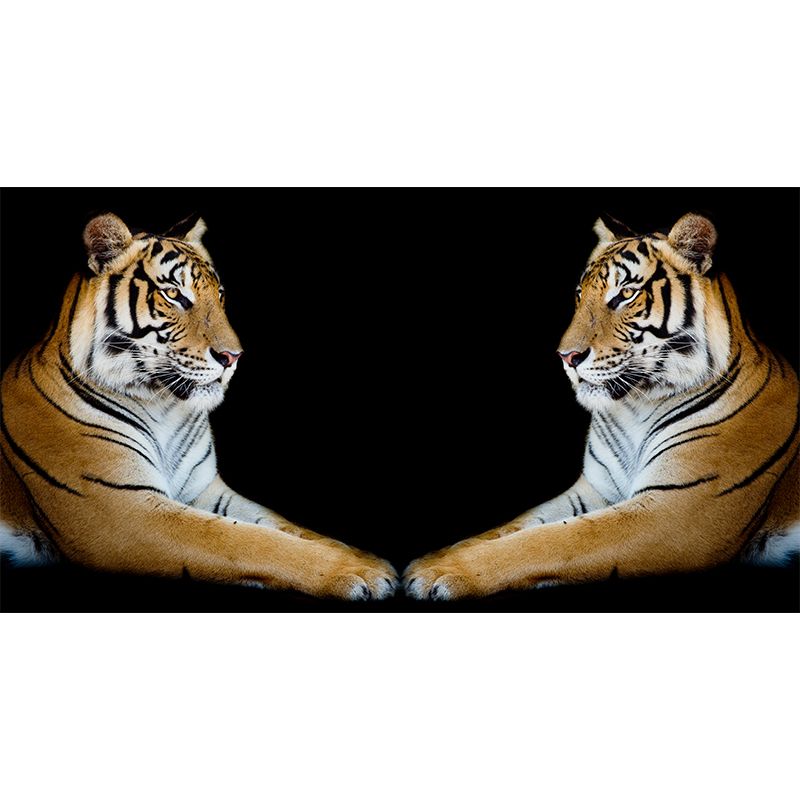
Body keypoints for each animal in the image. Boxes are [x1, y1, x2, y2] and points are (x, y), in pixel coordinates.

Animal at [0, 213, 398, 600]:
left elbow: (286, 526)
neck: (161, 406)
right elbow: (246, 540)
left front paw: (367, 559)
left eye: (220, 295)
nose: (233, 357)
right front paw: (360, 572)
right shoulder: (122, 510)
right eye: (174, 294)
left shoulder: (206, 490)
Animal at [403, 212, 800, 600]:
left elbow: (554, 539)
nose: (566, 356)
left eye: (625, 294)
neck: (638, 406)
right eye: (580, 295)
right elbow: (514, 526)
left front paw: (438, 572)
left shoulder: (678, 509)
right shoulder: (594, 490)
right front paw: (432, 559)